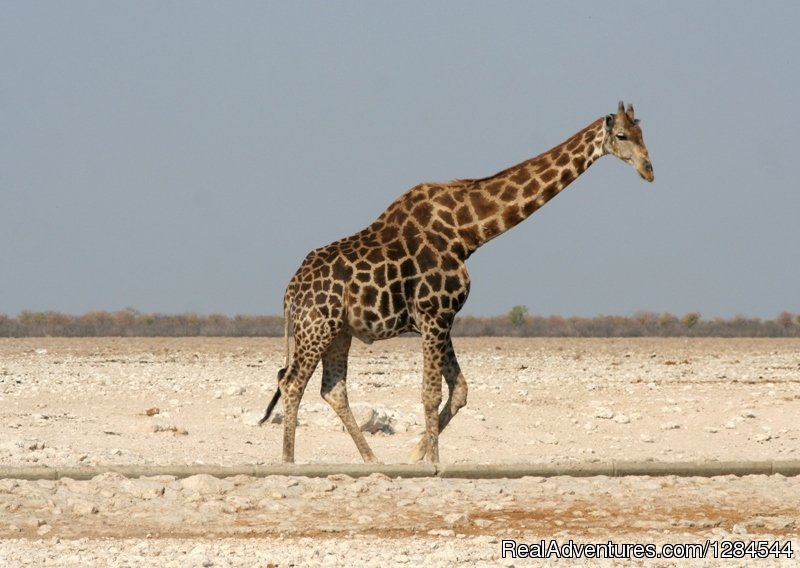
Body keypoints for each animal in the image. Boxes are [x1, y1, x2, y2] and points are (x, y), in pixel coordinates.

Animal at [260, 102, 652, 464]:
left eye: (643, 132)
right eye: (622, 136)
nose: (649, 170)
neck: (467, 233)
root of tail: (290, 290)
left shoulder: (441, 318)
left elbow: (459, 390)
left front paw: (416, 454)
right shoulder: (435, 314)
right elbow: (430, 393)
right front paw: (433, 462)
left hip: (339, 331)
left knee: (332, 388)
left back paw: (372, 460)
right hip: (317, 327)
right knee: (292, 383)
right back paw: (289, 462)